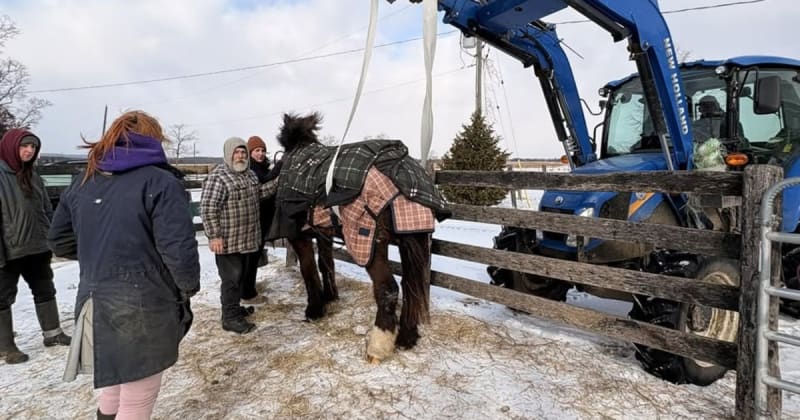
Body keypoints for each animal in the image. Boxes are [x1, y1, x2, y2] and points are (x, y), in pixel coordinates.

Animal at [270, 112, 450, 363]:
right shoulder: (323, 232)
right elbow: (326, 264)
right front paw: (330, 297)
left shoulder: (299, 236)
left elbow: (309, 269)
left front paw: (314, 309)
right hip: (411, 238)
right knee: (411, 287)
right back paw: (407, 337)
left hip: (370, 243)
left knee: (388, 289)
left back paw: (378, 346)